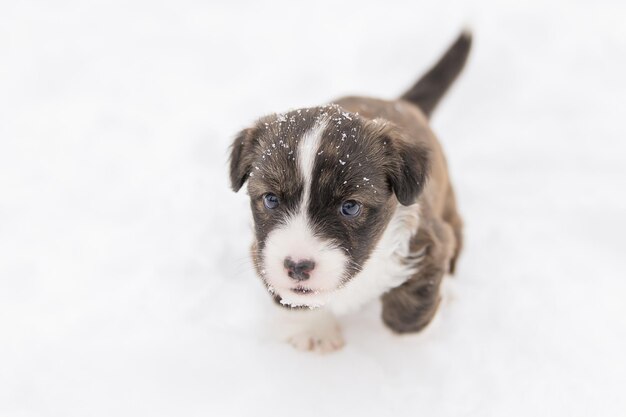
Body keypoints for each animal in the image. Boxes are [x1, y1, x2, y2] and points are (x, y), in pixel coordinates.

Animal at [229, 31, 468, 352]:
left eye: (350, 207)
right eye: (271, 200)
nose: (297, 267)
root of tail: (399, 102)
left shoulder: (428, 239)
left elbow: (412, 305)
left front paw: (406, 343)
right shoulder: (261, 250)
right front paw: (314, 330)